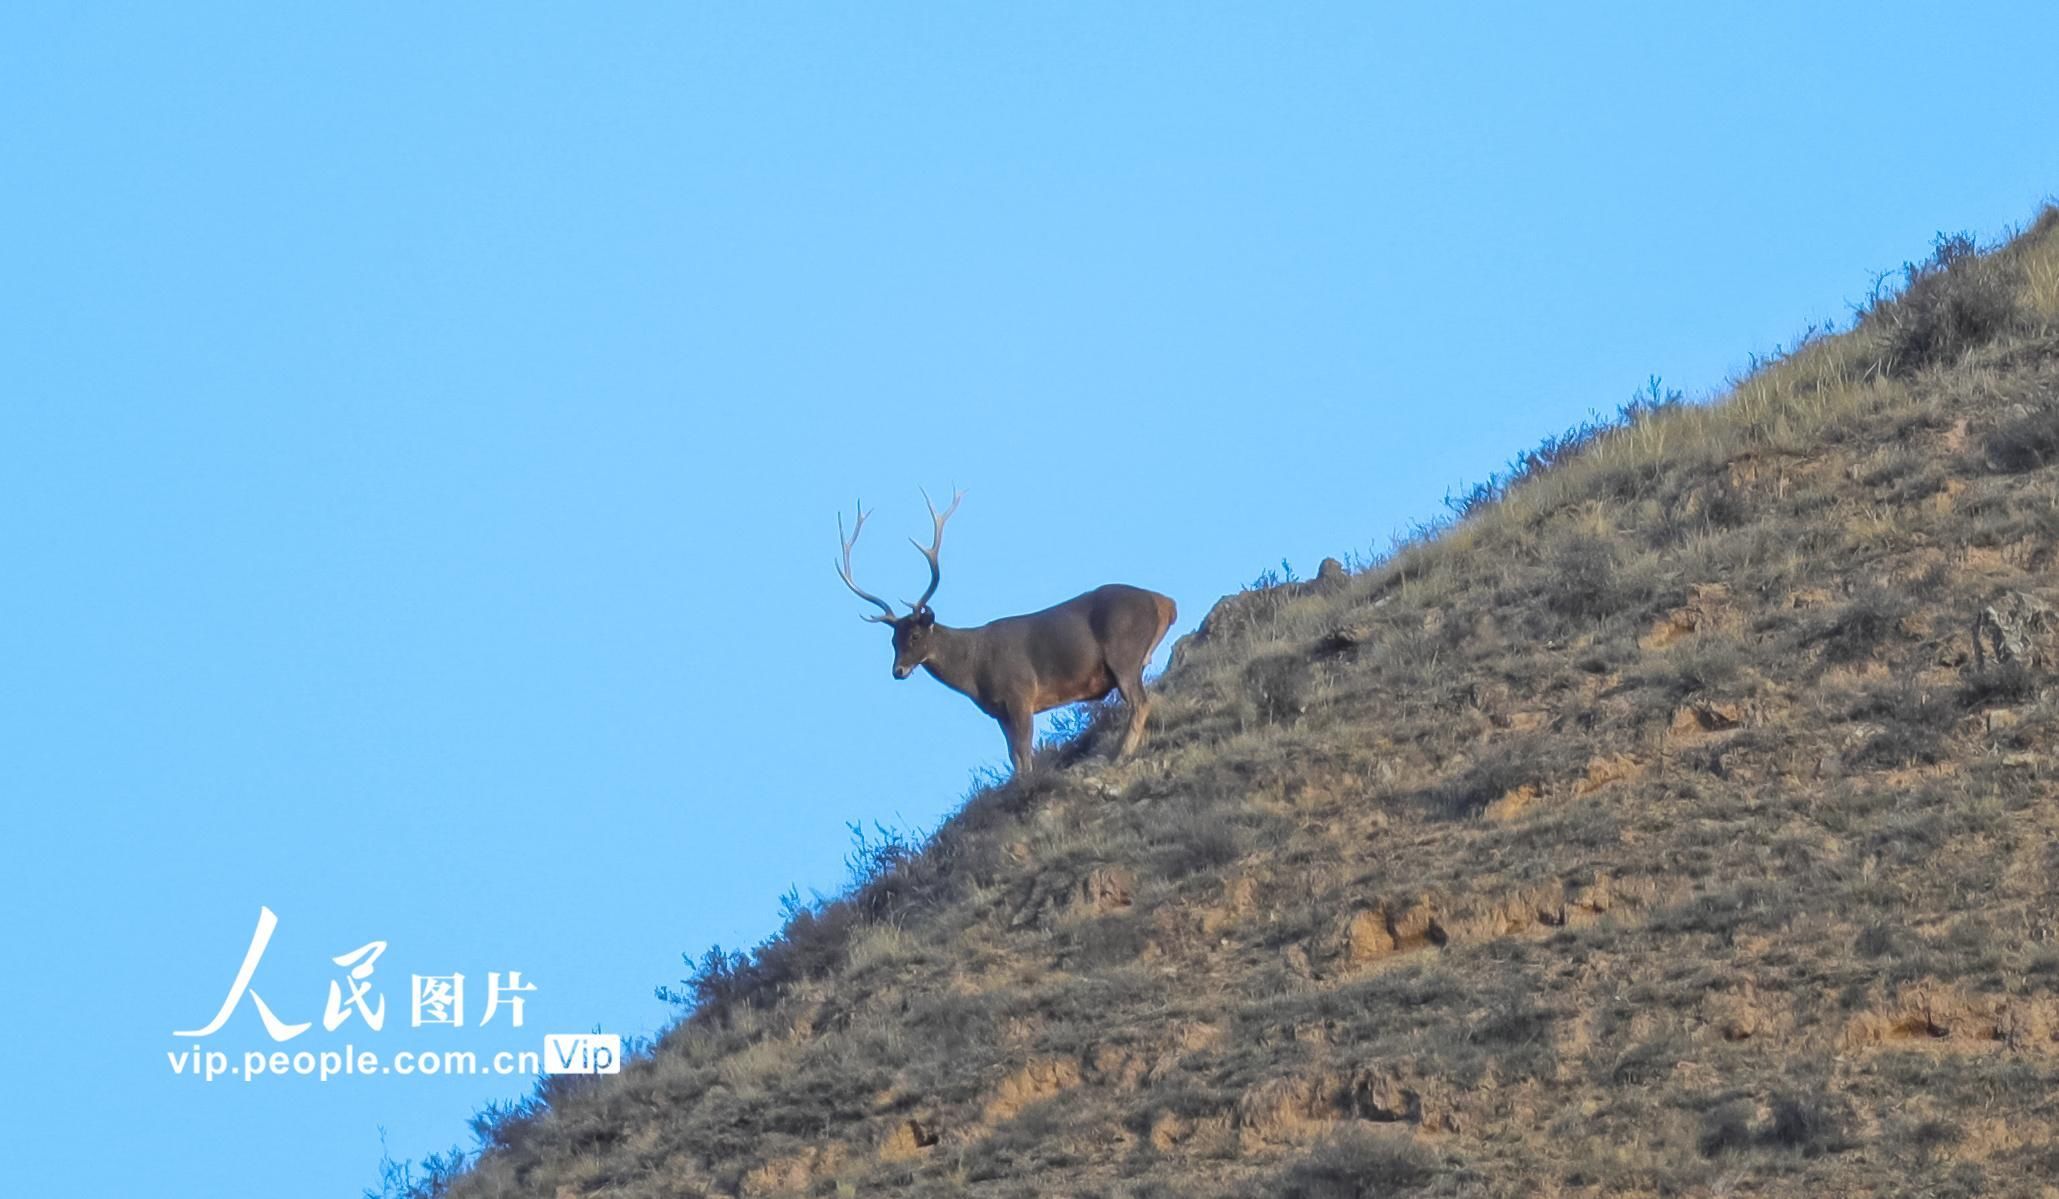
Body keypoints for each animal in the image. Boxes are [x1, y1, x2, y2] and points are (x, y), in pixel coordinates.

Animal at [831, 490, 1177, 778]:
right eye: (893, 640)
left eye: (915, 636)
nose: (898, 671)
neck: (974, 667)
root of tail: (1165, 603)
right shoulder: (998, 711)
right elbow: (1014, 756)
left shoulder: (1020, 692)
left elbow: (1024, 753)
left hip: (1123, 653)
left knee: (1139, 702)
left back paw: (1119, 756)